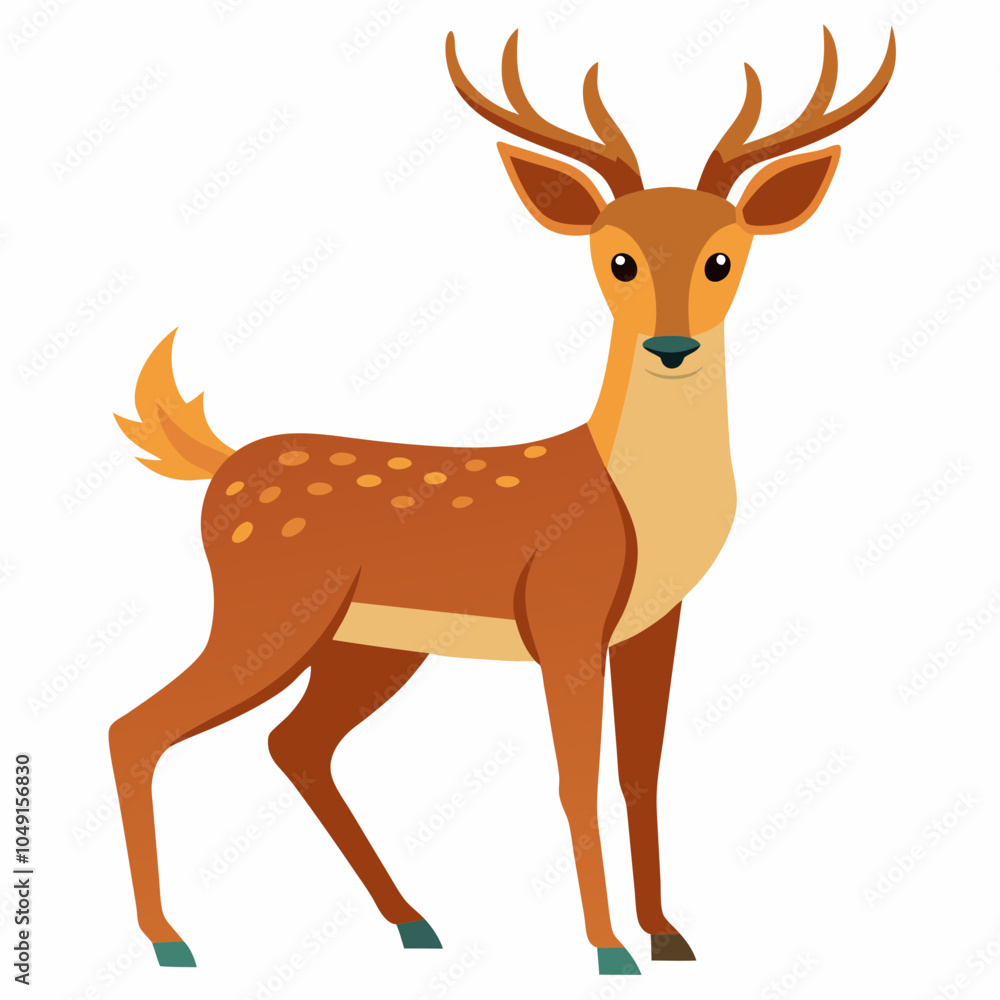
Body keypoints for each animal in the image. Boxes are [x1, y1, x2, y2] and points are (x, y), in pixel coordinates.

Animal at [109, 27, 895, 976]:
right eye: (617, 258)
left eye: (723, 257)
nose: (671, 346)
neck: (637, 506)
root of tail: (220, 464)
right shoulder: (563, 615)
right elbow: (574, 778)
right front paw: (608, 949)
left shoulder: (654, 624)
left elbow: (640, 772)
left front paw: (668, 935)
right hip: (267, 610)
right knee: (137, 729)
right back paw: (168, 939)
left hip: (368, 643)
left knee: (294, 745)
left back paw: (412, 921)